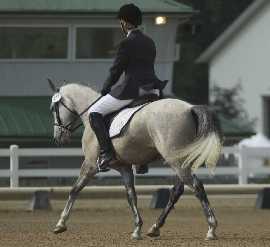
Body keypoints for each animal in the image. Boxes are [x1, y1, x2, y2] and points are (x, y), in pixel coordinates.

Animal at [49, 82, 223, 240]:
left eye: (53, 109)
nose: (57, 138)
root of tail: (189, 108)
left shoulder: (90, 164)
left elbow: (74, 190)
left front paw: (60, 224)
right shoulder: (124, 167)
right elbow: (131, 195)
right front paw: (137, 229)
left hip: (176, 161)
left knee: (197, 187)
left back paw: (211, 228)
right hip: (182, 161)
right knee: (177, 191)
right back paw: (155, 227)